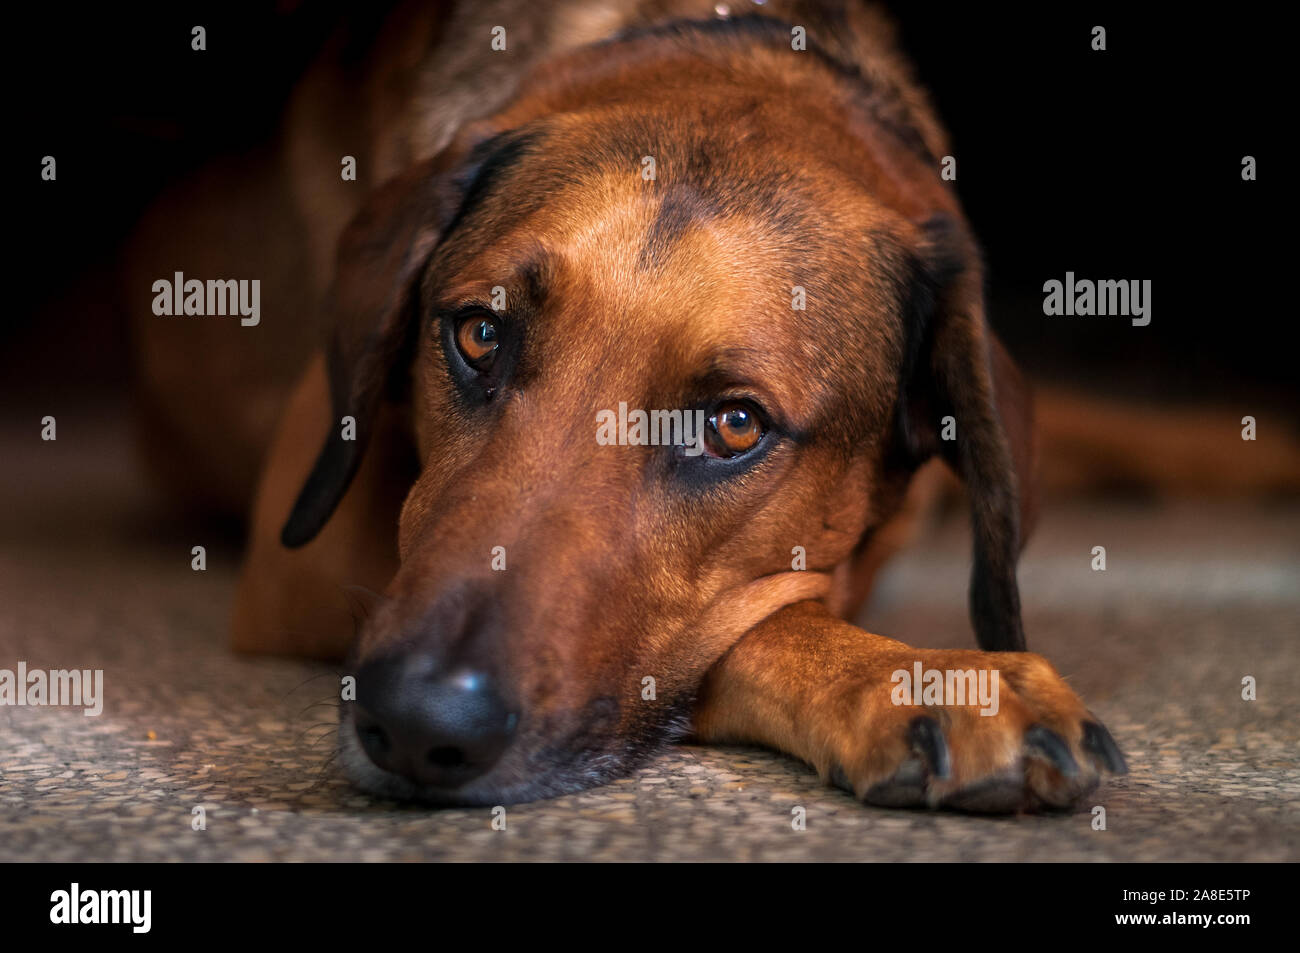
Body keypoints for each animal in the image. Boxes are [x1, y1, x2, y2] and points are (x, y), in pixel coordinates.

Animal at [134, 3, 1128, 816]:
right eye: (480, 335)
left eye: (734, 425)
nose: (415, 722)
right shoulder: (300, 560)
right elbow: (765, 618)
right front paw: (915, 679)